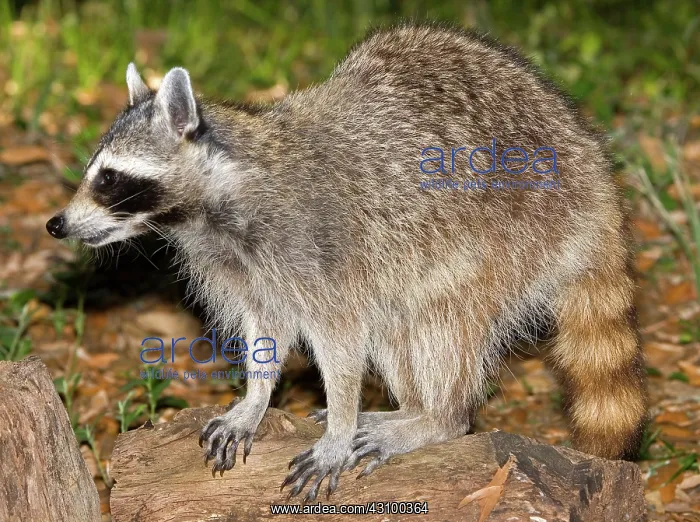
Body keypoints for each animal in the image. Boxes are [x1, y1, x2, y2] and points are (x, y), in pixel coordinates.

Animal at [47, 24, 648, 502]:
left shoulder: (317, 249)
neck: (216, 201)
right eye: (92, 171)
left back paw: (439, 418)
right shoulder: (243, 267)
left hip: (505, 235)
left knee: (442, 322)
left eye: (110, 179)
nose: (57, 224)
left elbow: (341, 341)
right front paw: (256, 397)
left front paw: (338, 424)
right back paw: (410, 406)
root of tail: (591, 168)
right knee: (399, 328)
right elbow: (266, 327)